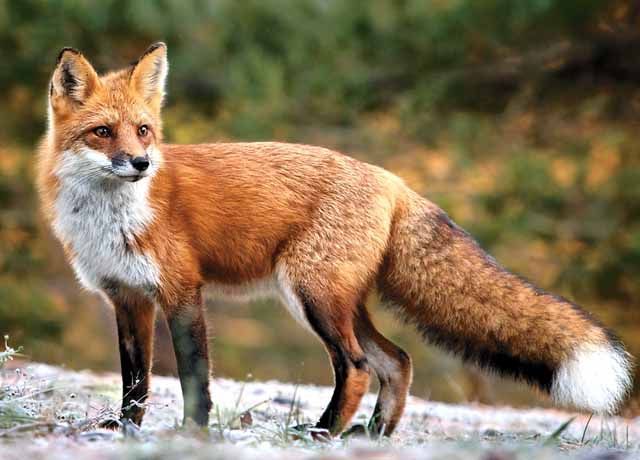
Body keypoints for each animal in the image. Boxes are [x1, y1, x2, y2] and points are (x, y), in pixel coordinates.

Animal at [37, 42, 632, 434]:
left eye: (144, 130)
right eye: (102, 132)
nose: (140, 163)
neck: (110, 219)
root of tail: (392, 179)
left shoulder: (182, 291)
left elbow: (193, 376)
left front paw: (192, 433)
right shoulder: (127, 298)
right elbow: (135, 381)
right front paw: (122, 430)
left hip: (313, 298)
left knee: (360, 366)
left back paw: (323, 432)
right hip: (336, 302)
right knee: (398, 361)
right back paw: (371, 437)